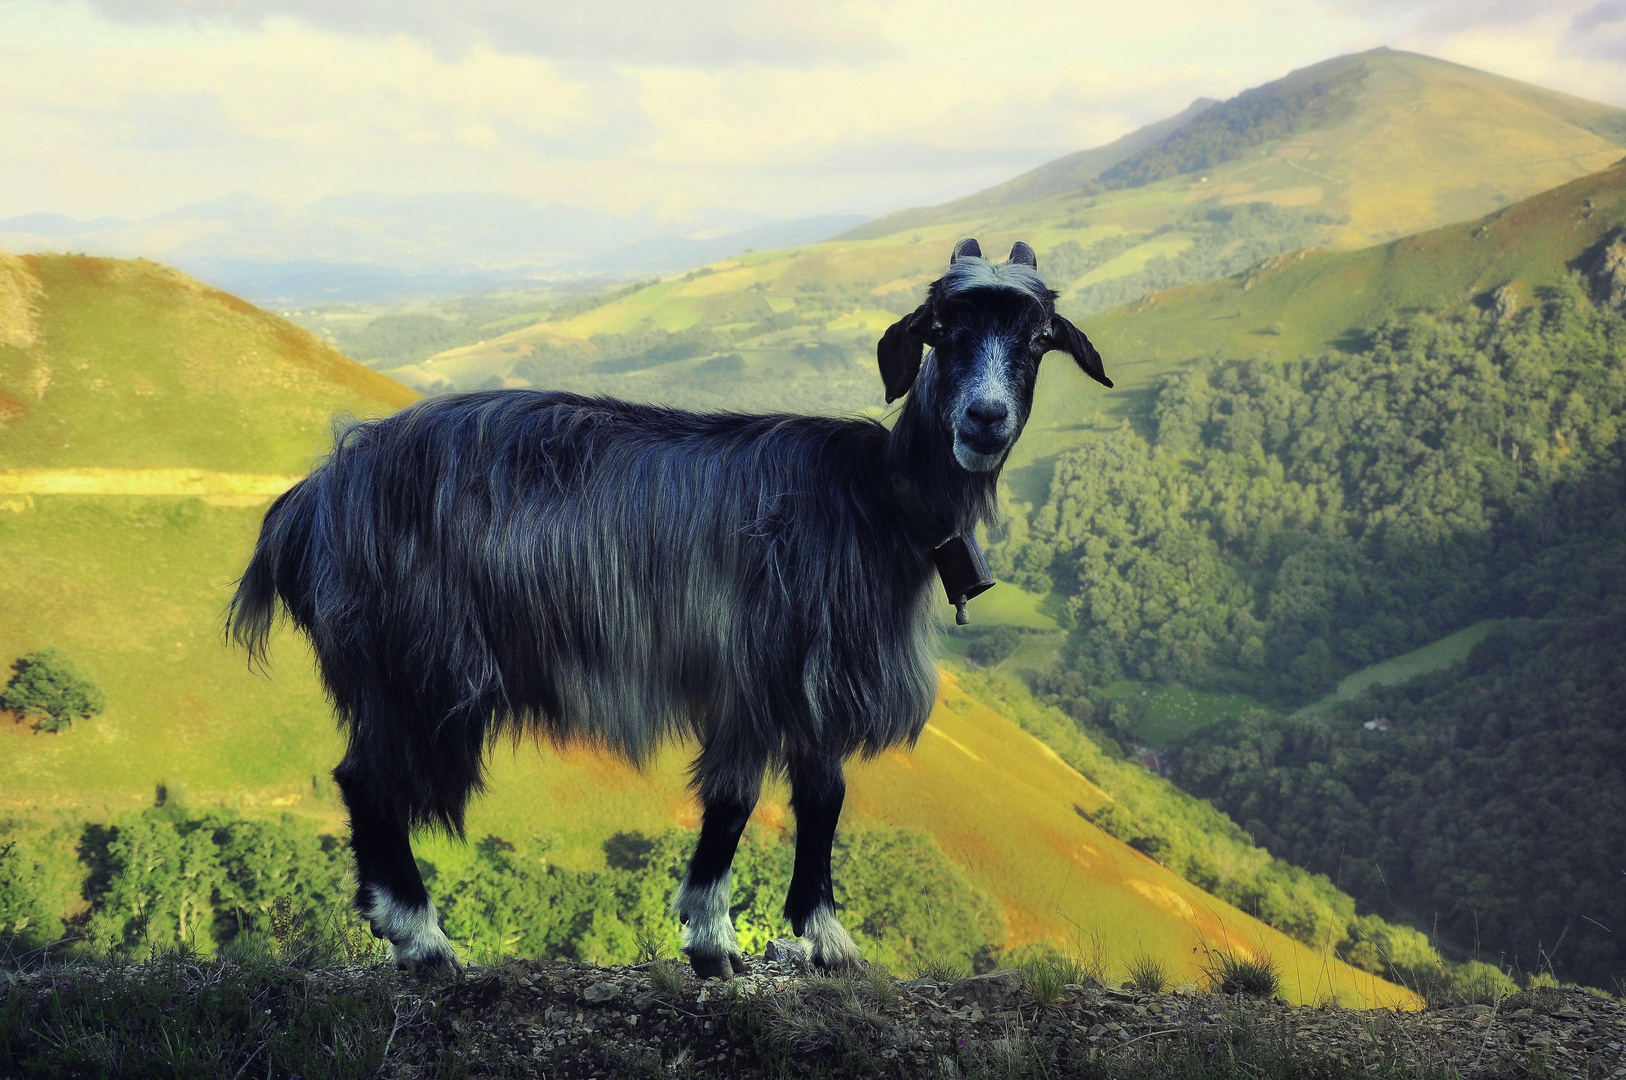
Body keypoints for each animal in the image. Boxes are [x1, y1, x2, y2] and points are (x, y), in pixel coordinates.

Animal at [226, 239, 1105, 975]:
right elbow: (735, 801)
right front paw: (713, 941)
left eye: (1037, 339)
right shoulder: (757, 672)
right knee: (367, 781)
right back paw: (422, 938)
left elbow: (822, 800)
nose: (984, 420)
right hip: (412, 664)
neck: (875, 500)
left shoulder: (818, 684)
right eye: (943, 330)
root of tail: (311, 500)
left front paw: (825, 937)